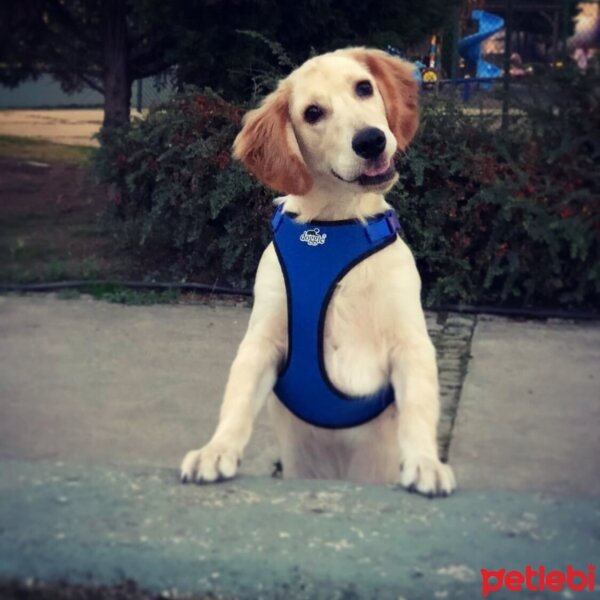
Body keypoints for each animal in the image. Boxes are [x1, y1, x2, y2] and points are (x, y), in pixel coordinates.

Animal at [180, 48, 458, 496]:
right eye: (313, 113)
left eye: (363, 88)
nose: (370, 140)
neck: (335, 223)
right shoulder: (263, 339)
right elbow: (237, 397)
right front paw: (215, 449)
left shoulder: (410, 342)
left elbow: (418, 406)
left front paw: (426, 462)